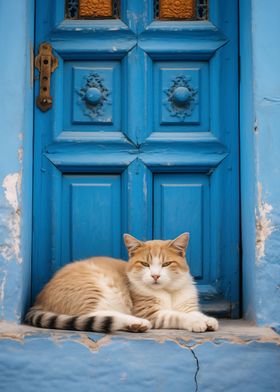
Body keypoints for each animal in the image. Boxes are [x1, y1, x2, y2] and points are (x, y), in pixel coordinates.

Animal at [25, 233, 219, 334]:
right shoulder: (150, 312)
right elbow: (177, 316)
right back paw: (135, 322)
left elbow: (193, 313)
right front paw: (196, 322)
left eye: (166, 264)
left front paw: (207, 320)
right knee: (92, 315)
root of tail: (39, 300)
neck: (169, 291)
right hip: (94, 288)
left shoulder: (188, 305)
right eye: (145, 264)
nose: (155, 276)